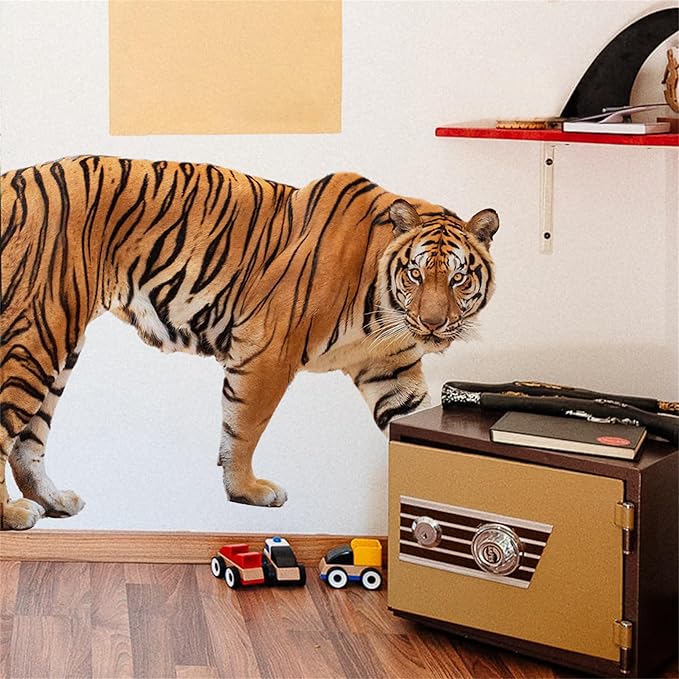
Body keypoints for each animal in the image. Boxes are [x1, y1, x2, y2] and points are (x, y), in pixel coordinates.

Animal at [0, 156, 499, 530]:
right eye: (416, 273)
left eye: (458, 278)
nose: (433, 324)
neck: (384, 310)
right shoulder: (266, 351)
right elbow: (243, 428)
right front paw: (247, 490)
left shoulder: (391, 370)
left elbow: (412, 426)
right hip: (32, 339)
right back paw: (13, 514)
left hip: (57, 348)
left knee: (29, 443)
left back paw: (54, 501)